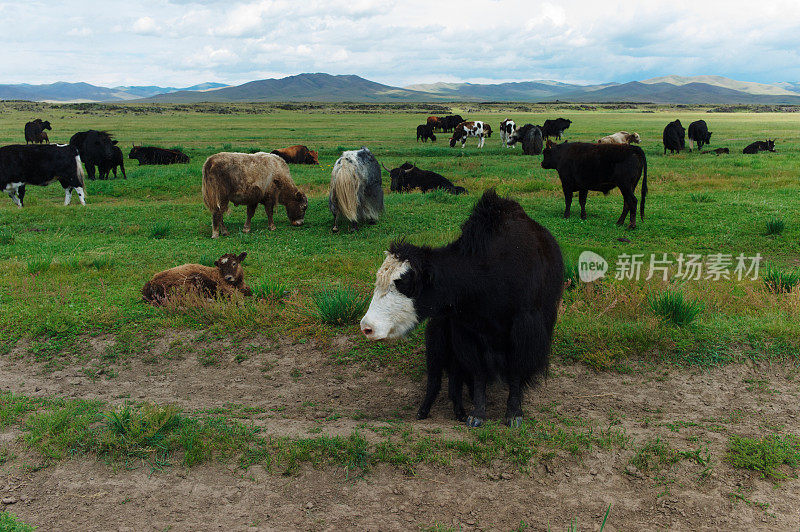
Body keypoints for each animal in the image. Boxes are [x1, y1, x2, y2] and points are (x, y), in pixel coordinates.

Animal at [360, 189, 564, 426]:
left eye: (404, 284)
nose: (366, 327)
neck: (485, 275)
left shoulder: (523, 329)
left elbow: (515, 370)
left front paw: (514, 413)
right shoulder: (468, 333)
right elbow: (479, 373)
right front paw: (477, 414)